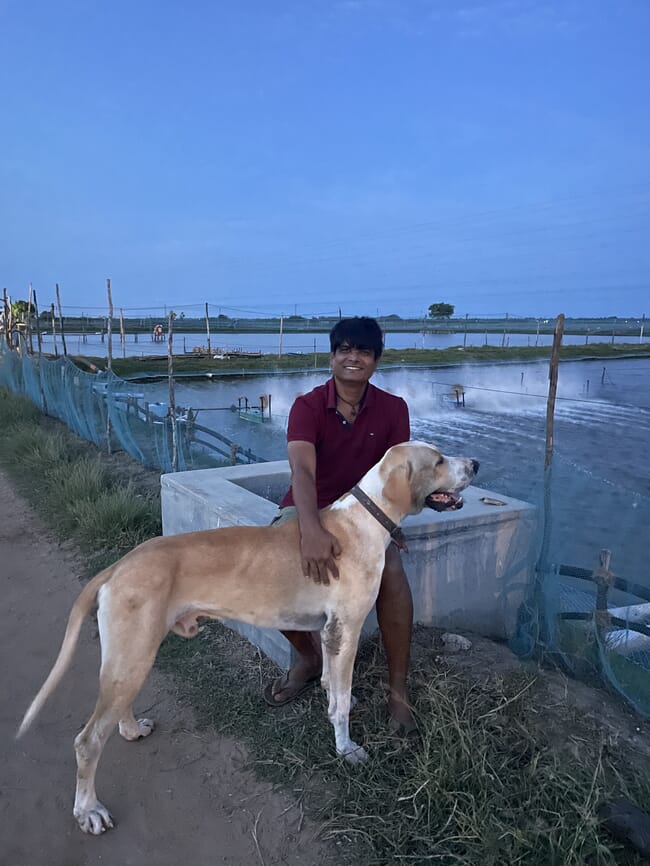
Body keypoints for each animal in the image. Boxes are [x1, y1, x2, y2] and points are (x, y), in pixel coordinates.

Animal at [17, 442, 474, 832]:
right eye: (437, 460)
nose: (475, 464)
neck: (363, 520)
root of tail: (118, 565)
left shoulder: (330, 632)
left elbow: (332, 683)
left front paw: (333, 700)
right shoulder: (346, 628)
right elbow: (341, 704)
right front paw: (346, 749)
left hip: (132, 656)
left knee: (114, 714)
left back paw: (130, 730)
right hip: (132, 655)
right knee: (88, 740)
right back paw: (88, 810)